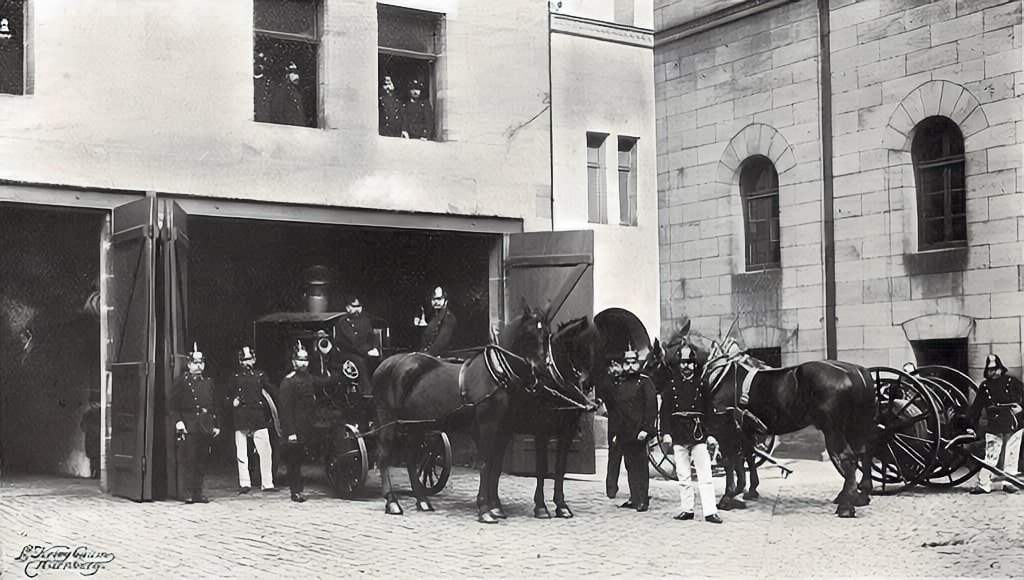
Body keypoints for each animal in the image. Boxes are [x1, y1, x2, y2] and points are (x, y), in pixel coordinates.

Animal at [372, 305, 552, 528]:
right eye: (528, 334)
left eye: (547, 334)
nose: (543, 369)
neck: (497, 375)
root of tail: (386, 363)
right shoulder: (486, 428)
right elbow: (485, 464)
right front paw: (485, 509)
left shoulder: (504, 431)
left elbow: (496, 466)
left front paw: (496, 507)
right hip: (388, 420)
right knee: (383, 456)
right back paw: (392, 502)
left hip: (416, 425)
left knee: (411, 458)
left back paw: (422, 501)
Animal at [509, 317, 602, 522]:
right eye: (580, 347)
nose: (587, 385)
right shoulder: (541, 430)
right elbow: (542, 467)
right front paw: (541, 507)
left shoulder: (567, 431)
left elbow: (560, 467)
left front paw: (561, 505)